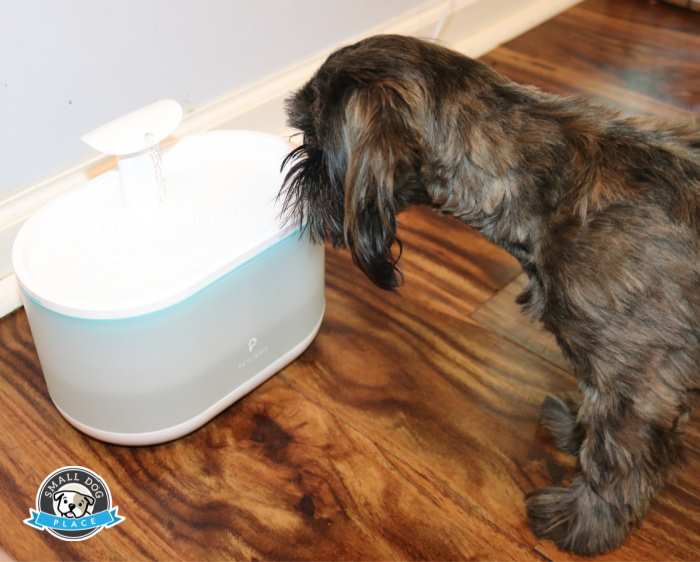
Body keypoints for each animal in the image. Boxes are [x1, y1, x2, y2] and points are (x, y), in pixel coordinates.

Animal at [278, 36, 700, 556]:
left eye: (314, 137)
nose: (298, 173)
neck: (547, 188)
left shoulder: (635, 384)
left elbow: (613, 460)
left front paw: (584, 524)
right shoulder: (607, 369)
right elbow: (592, 417)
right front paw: (575, 433)